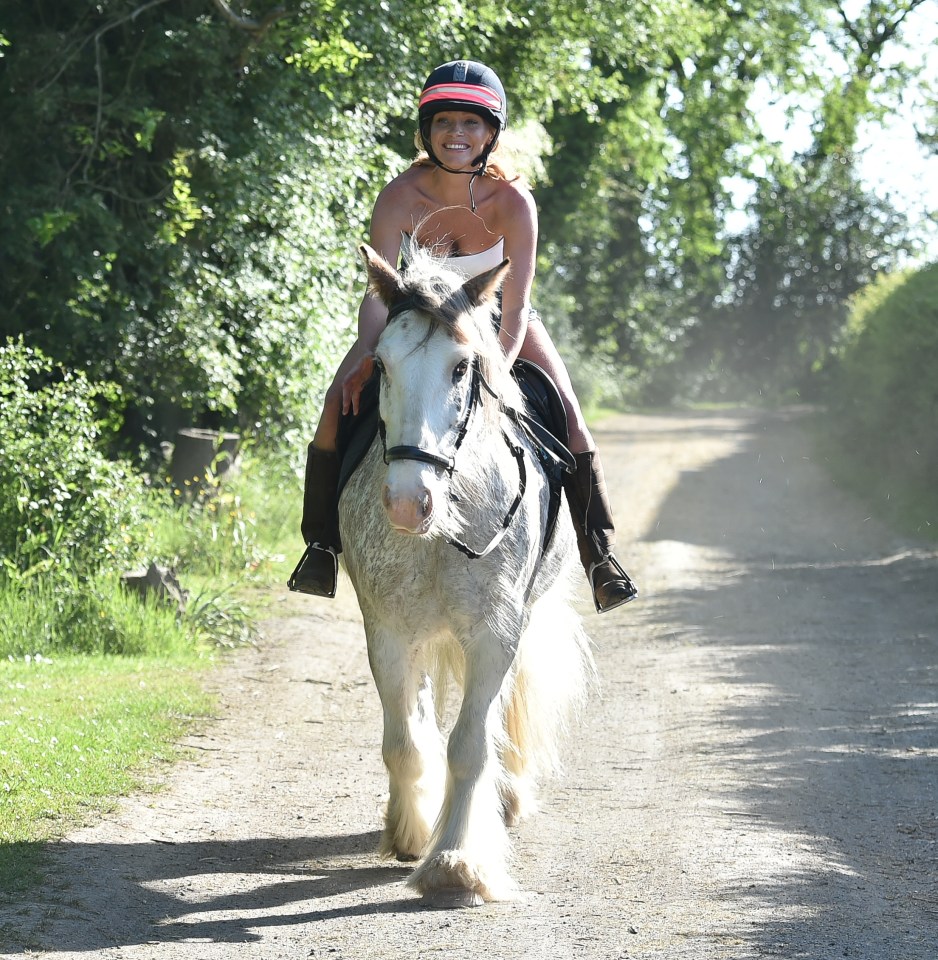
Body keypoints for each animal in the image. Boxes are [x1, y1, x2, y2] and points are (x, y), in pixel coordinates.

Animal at [338, 244, 592, 904]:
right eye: (380, 365)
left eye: (461, 368)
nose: (408, 503)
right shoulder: (389, 632)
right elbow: (404, 742)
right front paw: (411, 833)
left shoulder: (495, 634)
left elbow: (470, 746)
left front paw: (456, 861)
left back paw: (505, 799)